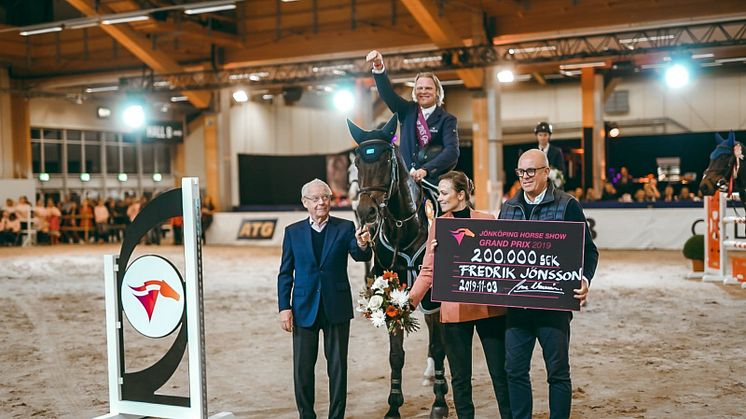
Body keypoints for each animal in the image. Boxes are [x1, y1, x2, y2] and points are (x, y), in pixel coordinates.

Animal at [344, 115, 444, 419]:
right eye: (357, 161)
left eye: (386, 159)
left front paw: (439, 403)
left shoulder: (433, 297)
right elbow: (396, 355)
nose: (366, 211)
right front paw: (394, 405)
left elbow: (439, 346)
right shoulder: (390, 294)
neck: (403, 227)